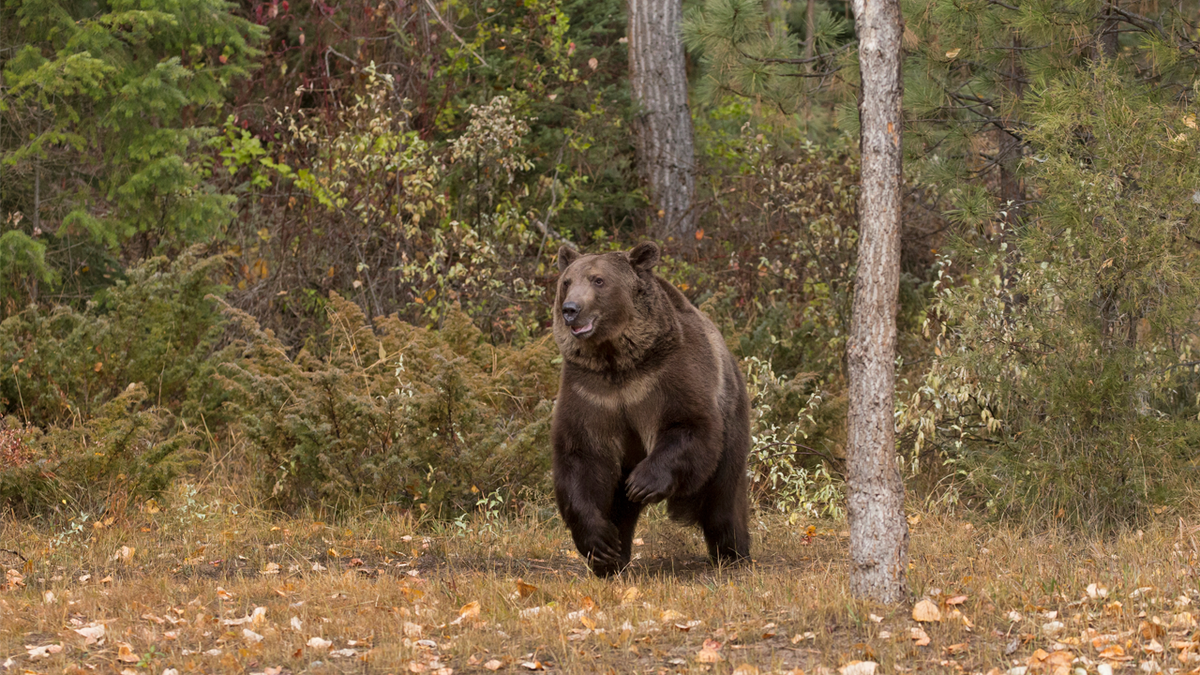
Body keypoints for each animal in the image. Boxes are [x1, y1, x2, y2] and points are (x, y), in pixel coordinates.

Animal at [552, 239, 748, 576]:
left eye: (598, 280)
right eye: (567, 282)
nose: (571, 310)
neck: (617, 361)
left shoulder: (668, 375)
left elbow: (688, 425)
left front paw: (642, 483)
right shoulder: (590, 392)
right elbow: (581, 455)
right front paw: (599, 543)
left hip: (732, 420)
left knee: (724, 500)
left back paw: (734, 553)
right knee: (619, 506)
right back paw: (612, 559)